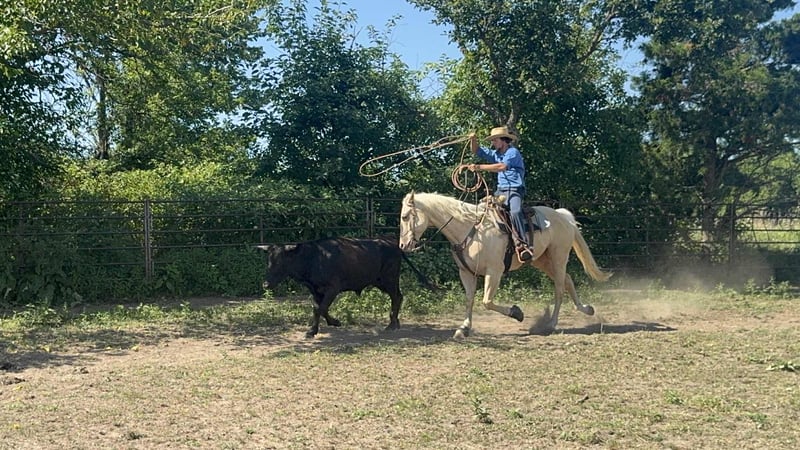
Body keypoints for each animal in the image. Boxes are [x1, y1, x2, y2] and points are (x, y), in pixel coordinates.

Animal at [257, 235, 431, 338]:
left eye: (280, 261)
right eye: (268, 261)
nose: (266, 284)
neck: (314, 258)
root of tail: (394, 245)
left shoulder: (332, 289)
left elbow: (321, 308)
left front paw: (327, 325)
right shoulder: (315, 291)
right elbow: (317, 308)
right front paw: (318, 328)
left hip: (389, 280)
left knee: (397, 297)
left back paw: (392, 324)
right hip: (383, 282)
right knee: (398, 296)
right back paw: (396, 322)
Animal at [398, 191, 611, 338]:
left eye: (405, 216)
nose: (403, 245)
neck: (470, 229)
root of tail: (563, 216)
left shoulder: (494, 272)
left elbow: (486, 301)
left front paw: (517, 313)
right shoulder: (466, 273)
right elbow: (470, 300)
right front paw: (464, 328)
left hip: (558, 257)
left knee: (559, 288)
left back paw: (551, 323)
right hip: (542, 261)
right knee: (567, 280)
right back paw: (586, 309)